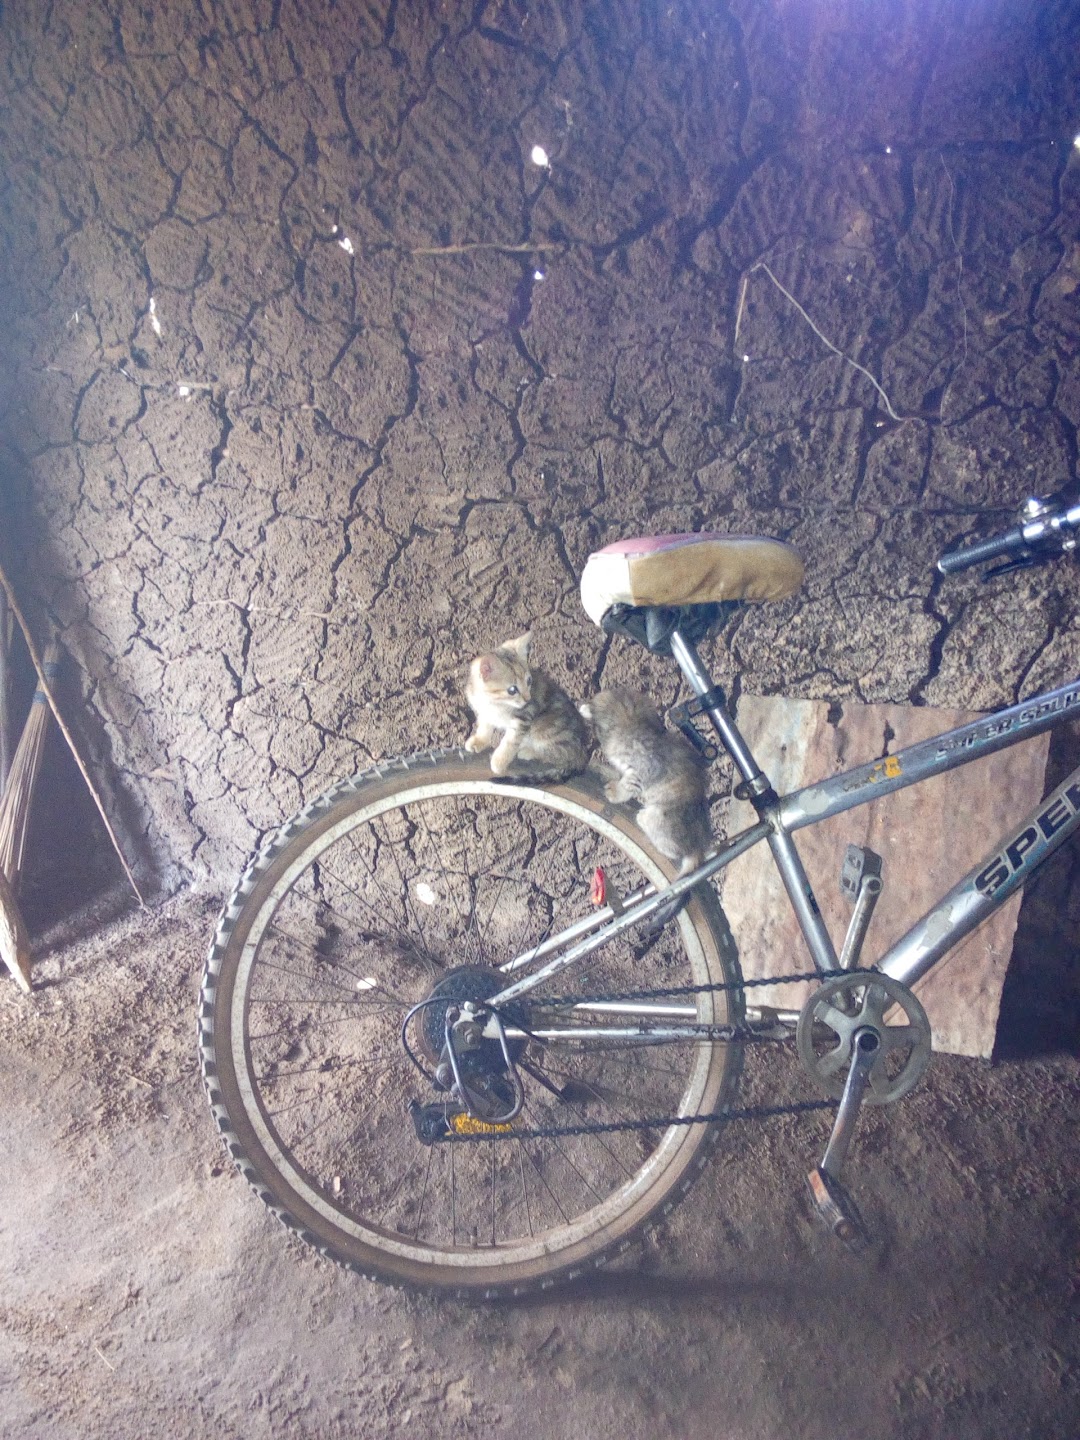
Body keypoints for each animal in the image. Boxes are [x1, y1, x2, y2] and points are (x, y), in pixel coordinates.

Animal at [460, 636, 587, 783]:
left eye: (529, 681)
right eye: (512, 690)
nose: (528, 698)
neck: (493, 703)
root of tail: (582, 751)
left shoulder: (524, 717)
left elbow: (510, 741)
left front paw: (499, 761)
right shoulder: (485, 712)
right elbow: (485, 727)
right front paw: (479, 740)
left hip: (543, 727)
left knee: (560, 755)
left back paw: (529, 751)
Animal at [578, 688, 714, 875]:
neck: (632, 723)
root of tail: (699, 847)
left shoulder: (641, 771)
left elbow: (626, 787)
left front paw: (614, 793)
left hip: (654, 816)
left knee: (673, 850)